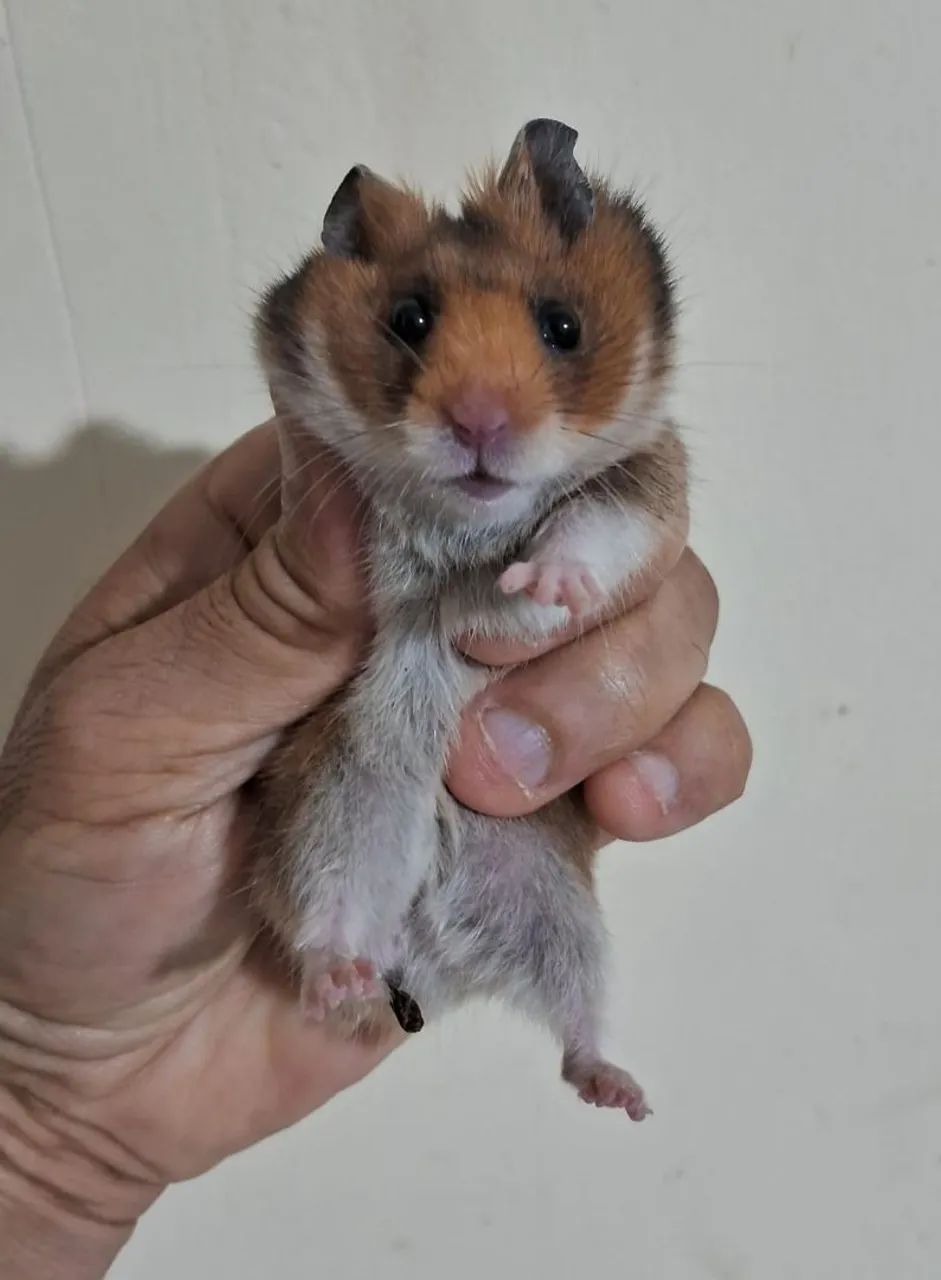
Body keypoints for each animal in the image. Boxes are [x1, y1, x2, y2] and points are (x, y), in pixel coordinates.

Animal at [251, 119, 688, 1119]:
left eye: (562, 326)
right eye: (409, 318)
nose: (480, 425)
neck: (467, 520)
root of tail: (435, 959)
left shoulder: (645, 483)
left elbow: (589, 530)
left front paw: (542, 584)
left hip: (564, 919)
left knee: (576, 1024)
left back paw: (623, 1096)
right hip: (337, 814)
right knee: (329, 924)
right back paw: (337, 979)